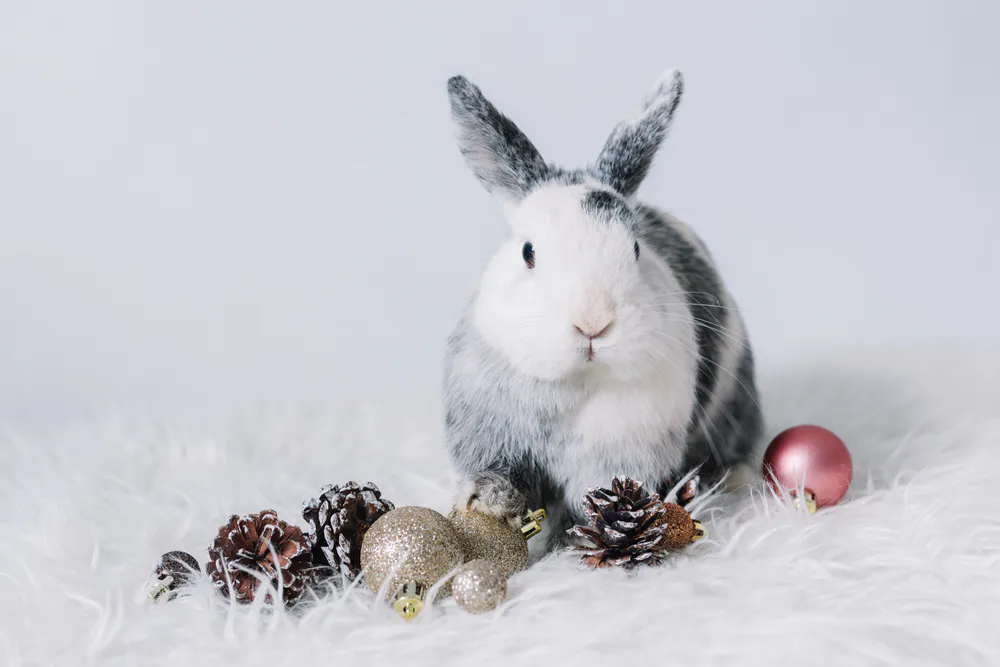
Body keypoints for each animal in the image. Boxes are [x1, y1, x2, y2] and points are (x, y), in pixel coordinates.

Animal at [442, 69, 763, 551]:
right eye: (528, 252)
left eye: (635, 249)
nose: (592, 323)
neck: (574, 381)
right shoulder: (494, 439)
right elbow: (503, 477)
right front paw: (486, 504)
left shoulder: (619, 453)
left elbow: (588, 504)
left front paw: (568, 547)